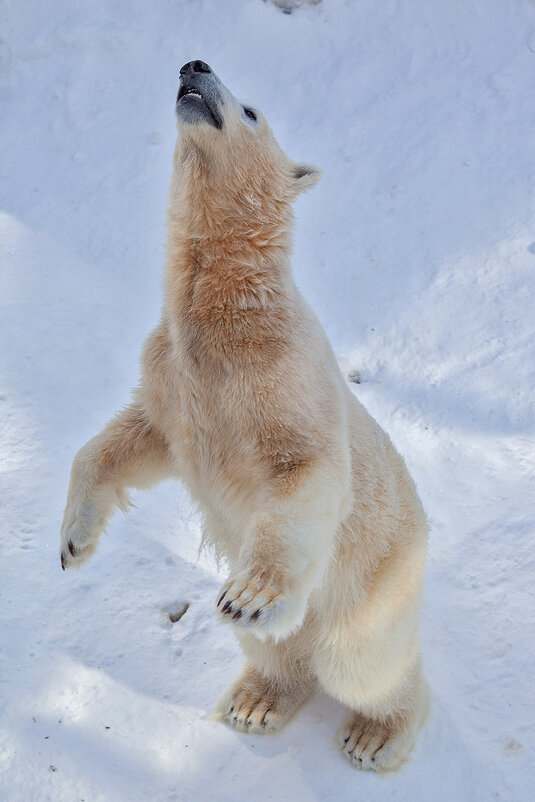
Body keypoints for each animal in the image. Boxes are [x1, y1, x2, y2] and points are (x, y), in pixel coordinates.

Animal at [58, 59, 430, 772]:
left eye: (252, 110)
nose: (193, 65)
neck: (227, 308)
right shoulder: (175, 377)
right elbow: (132, 440)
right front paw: (72, 542)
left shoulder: (282, 374)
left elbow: (305, 469)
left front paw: (248, 595)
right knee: (280, 652)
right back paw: (255, 702)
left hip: (375, 584)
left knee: (361, 662)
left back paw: (376, 734)